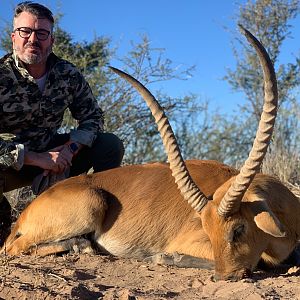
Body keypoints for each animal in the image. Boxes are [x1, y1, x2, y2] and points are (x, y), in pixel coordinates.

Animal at [1, 25, 298, 282]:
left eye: (238, 229)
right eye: (209, 230)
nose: (225, 277)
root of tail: (27, 212)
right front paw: (166, 258)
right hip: (90, 205)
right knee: (15, 248)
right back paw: (82, 246)